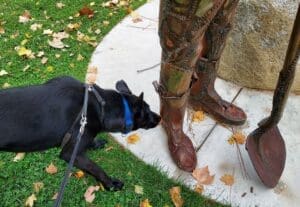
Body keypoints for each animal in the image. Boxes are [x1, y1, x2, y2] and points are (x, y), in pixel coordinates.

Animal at [0, 76, 159, 191]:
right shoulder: (71, 154)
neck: (100, 106)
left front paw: (95, 143)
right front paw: (110, 184)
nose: (159, 118)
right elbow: (96, 169)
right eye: (147, 112)